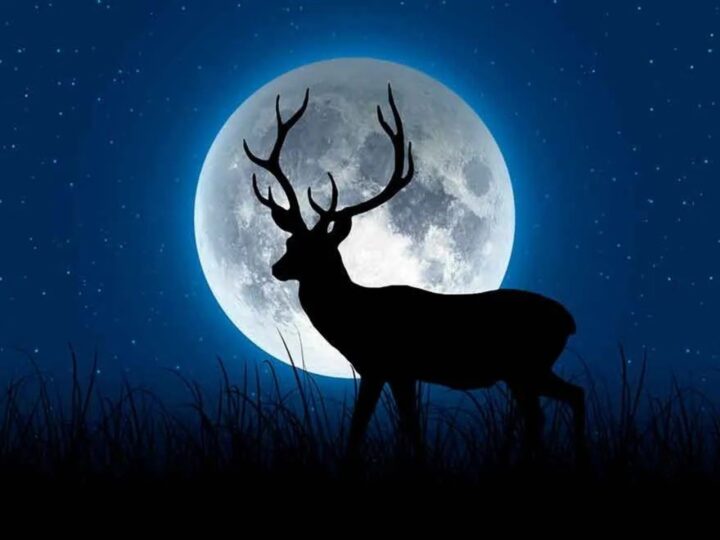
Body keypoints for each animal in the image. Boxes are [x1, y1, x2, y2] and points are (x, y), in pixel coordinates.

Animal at [243, 85, 587, 463]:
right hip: (527, 371)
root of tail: (568, 321)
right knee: (568, 398)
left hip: (526, 366)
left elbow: (366, 429)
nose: (277, 268)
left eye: (316, 250)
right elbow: (406, 427)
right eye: (290, 241)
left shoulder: (384, 365)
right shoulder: (396, 373)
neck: (354, 317)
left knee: (551, 408)